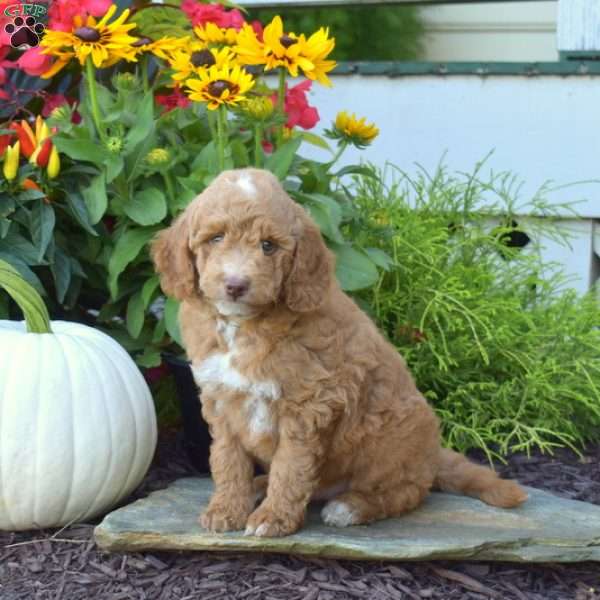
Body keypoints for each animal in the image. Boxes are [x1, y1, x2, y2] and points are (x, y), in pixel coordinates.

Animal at [152, 166, 528, 536]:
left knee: (404, 492)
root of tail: (433, 455)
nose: (235, 284)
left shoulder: (308, 404)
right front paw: (226, 509)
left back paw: (350, 507)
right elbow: (227, 460)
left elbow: (290, 467)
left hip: (389, 443)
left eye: (268, 246)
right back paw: (260, 486)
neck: (243, 326)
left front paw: (273, 518)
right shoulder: (220, 399)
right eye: (215, 238)